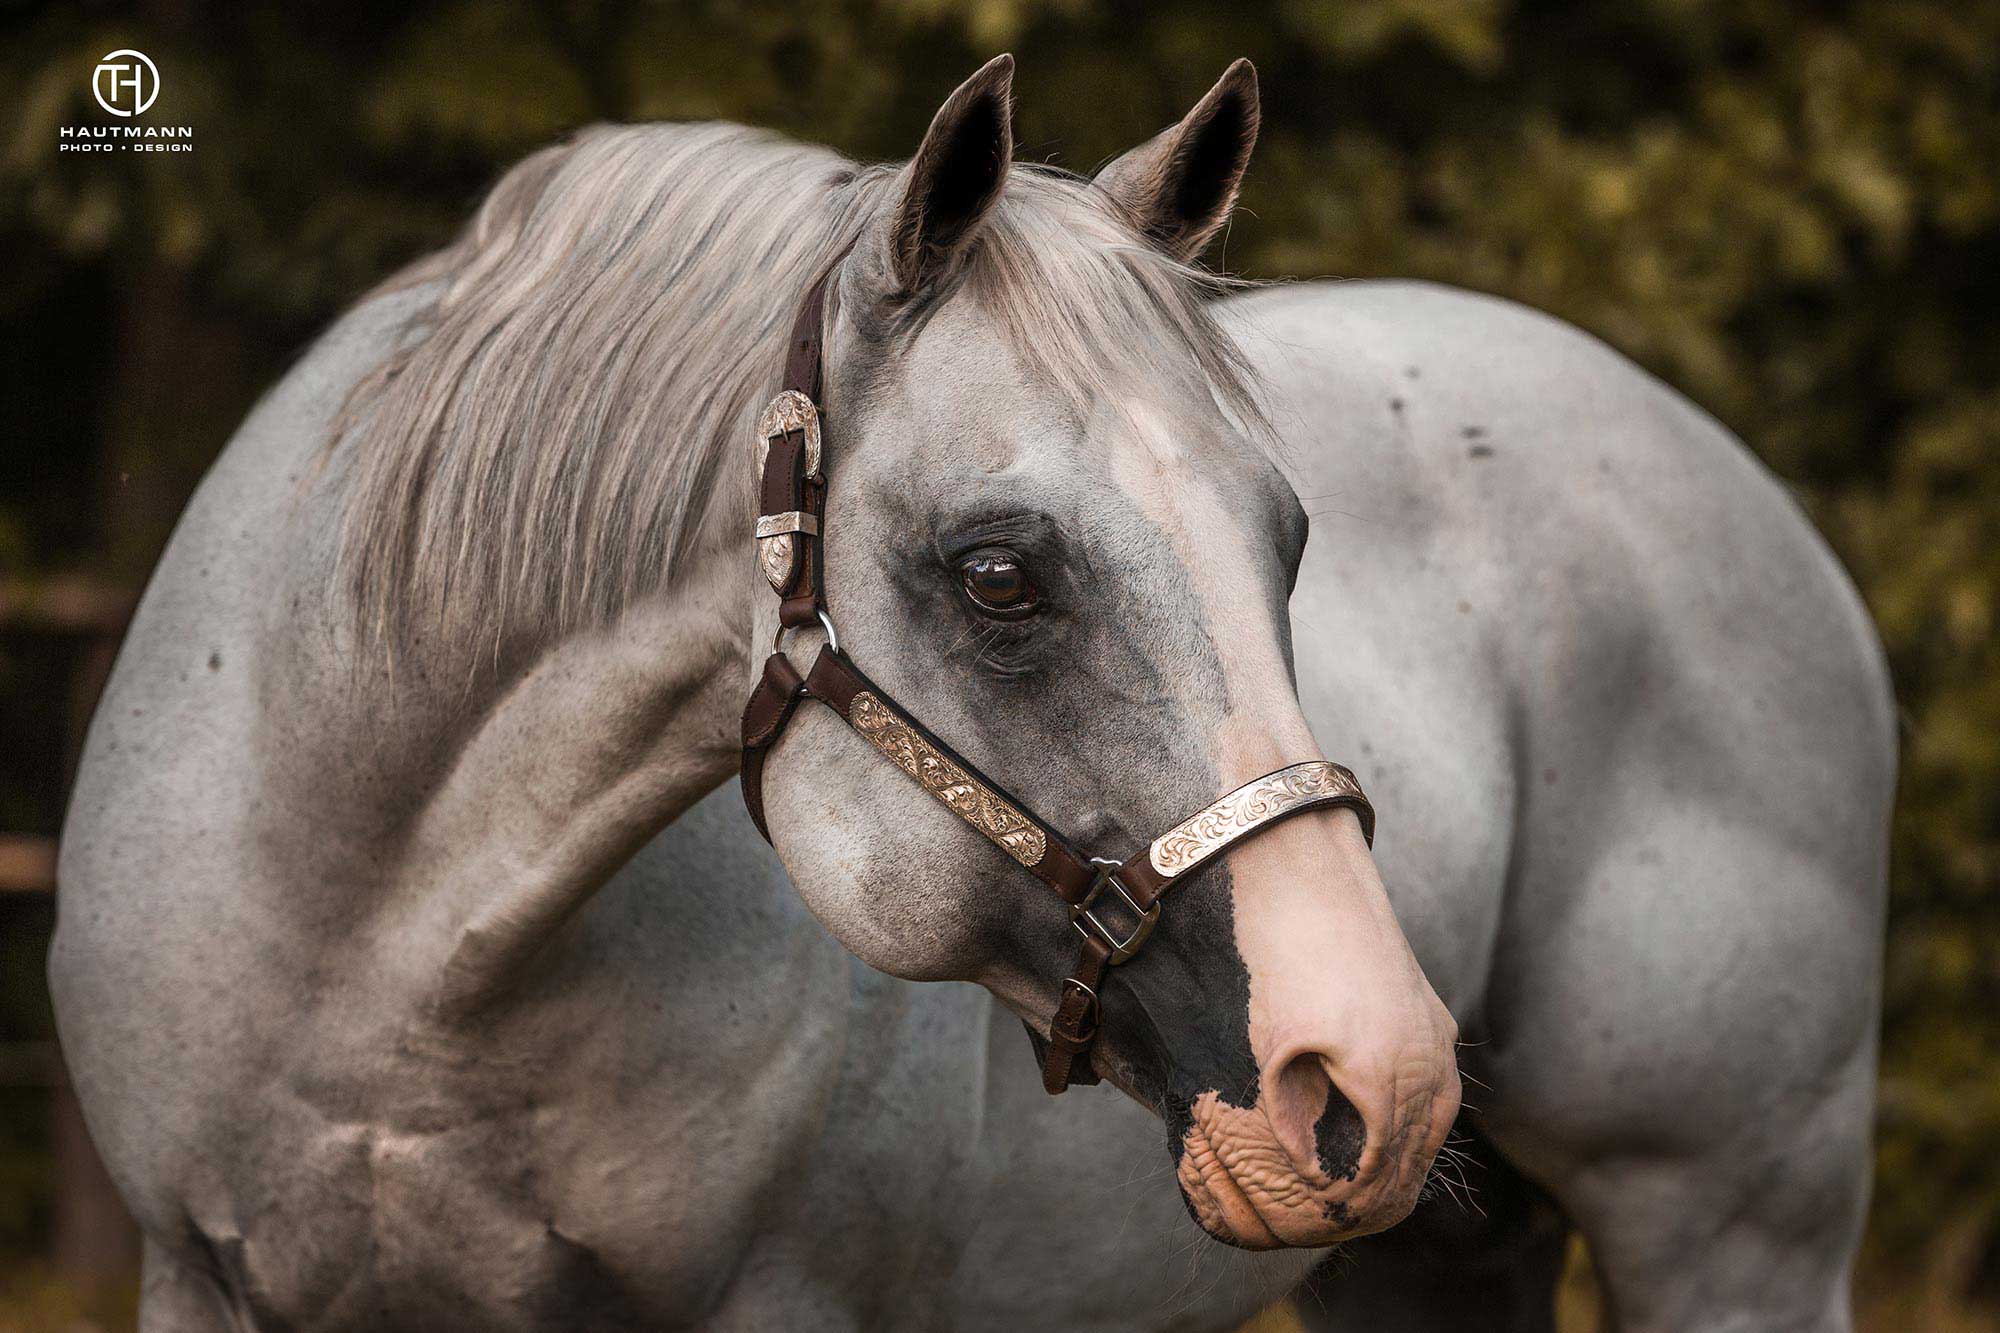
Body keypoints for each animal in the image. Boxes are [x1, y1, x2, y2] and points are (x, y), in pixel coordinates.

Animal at [51, 54, 1892, 1331]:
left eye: (1289, 539)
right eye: (1001, 573)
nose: (1375, 1065)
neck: (400, 956)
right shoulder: (198, 1276)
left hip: (1733, 1230)